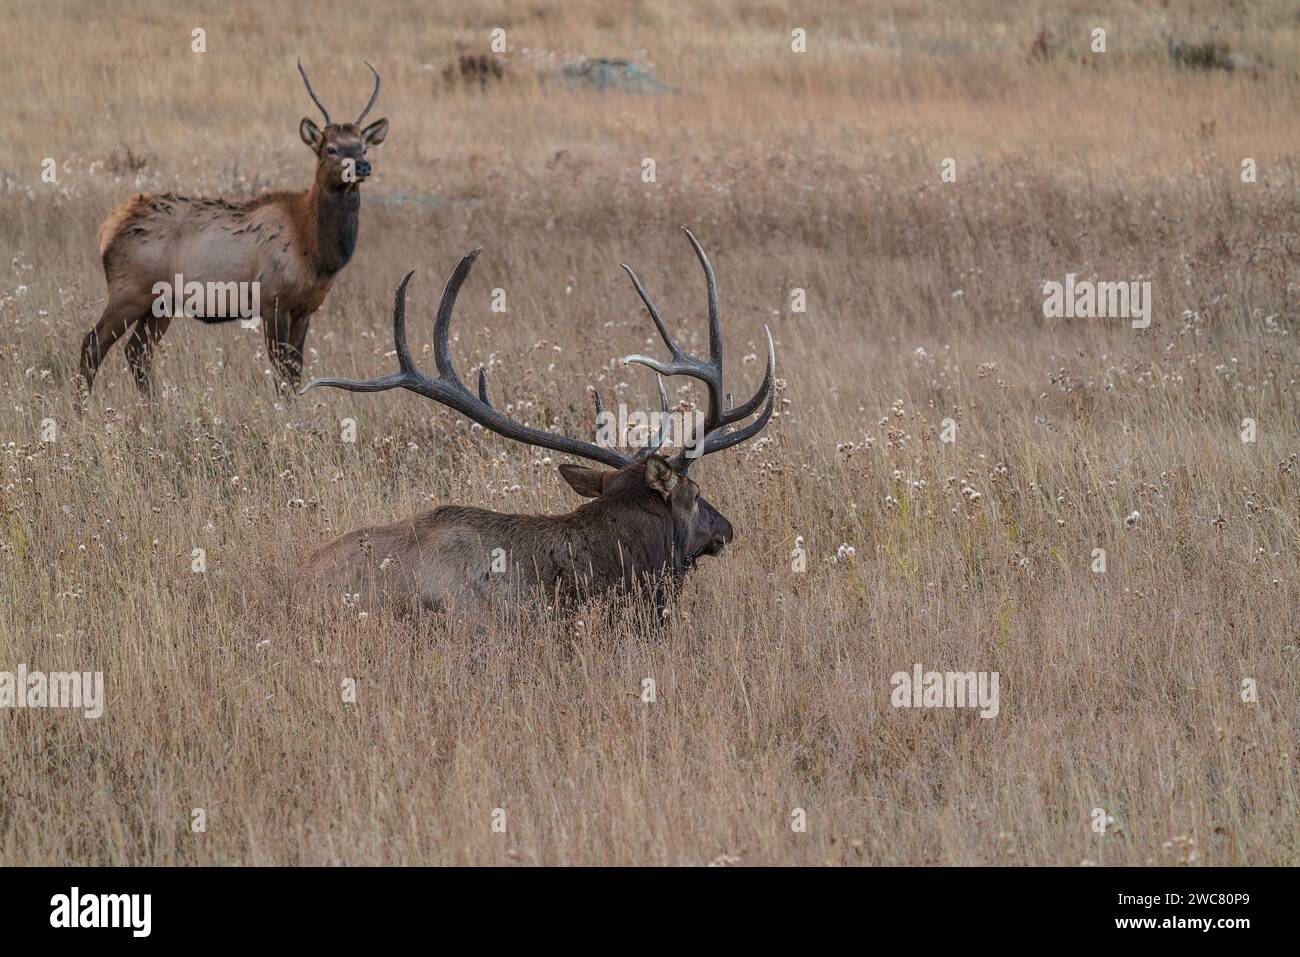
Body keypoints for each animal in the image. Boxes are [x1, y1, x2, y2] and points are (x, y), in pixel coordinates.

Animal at [76, 59, 387, 397]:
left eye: (363, 148)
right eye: (331, 148)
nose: (362, 166)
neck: (317, 251)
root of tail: (108, 227)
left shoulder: (307, 308)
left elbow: (295, 372)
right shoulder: (273, 299)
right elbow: (281, 372)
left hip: (161, 303)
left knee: (137, 352)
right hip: (130, 290)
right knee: (92, 344)